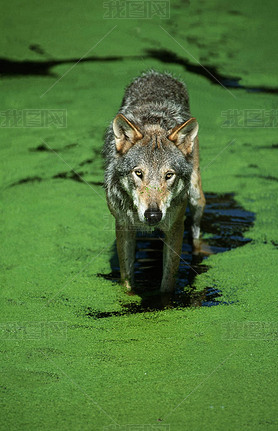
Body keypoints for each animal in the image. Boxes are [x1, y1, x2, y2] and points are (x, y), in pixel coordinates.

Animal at [103, 71, 205, 294]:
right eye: (138, 173)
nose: (153, 215)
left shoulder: (175, 228)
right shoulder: (123, 226)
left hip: (196, 198)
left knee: (196, 235)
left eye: (169, 175)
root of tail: (158, 74)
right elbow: (127, 279)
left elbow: (167, 283)